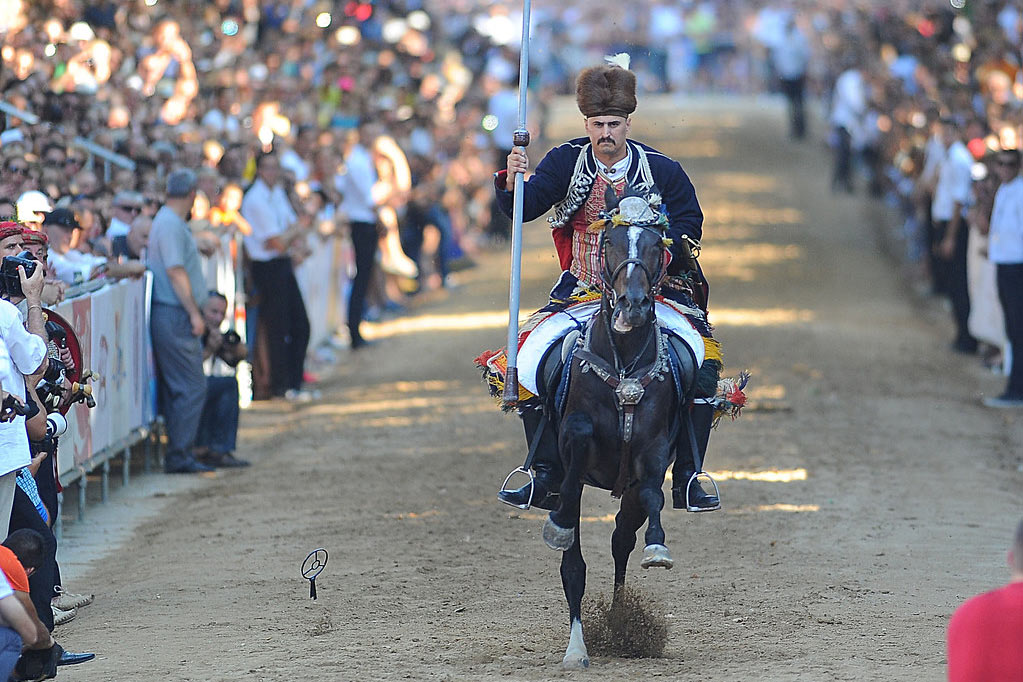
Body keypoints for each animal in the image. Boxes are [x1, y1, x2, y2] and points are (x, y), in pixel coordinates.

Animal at [540, 194, 699, 670]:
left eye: (656, 243)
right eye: (609, 241)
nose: (633, 305)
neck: (625, 360)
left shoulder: (652, 449)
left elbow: (652, 495)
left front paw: (658, 548)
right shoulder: (573, 438)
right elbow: (572, 476)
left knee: (620, 540)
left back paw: (618, 623)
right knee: (574, 564)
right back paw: (580, 645)